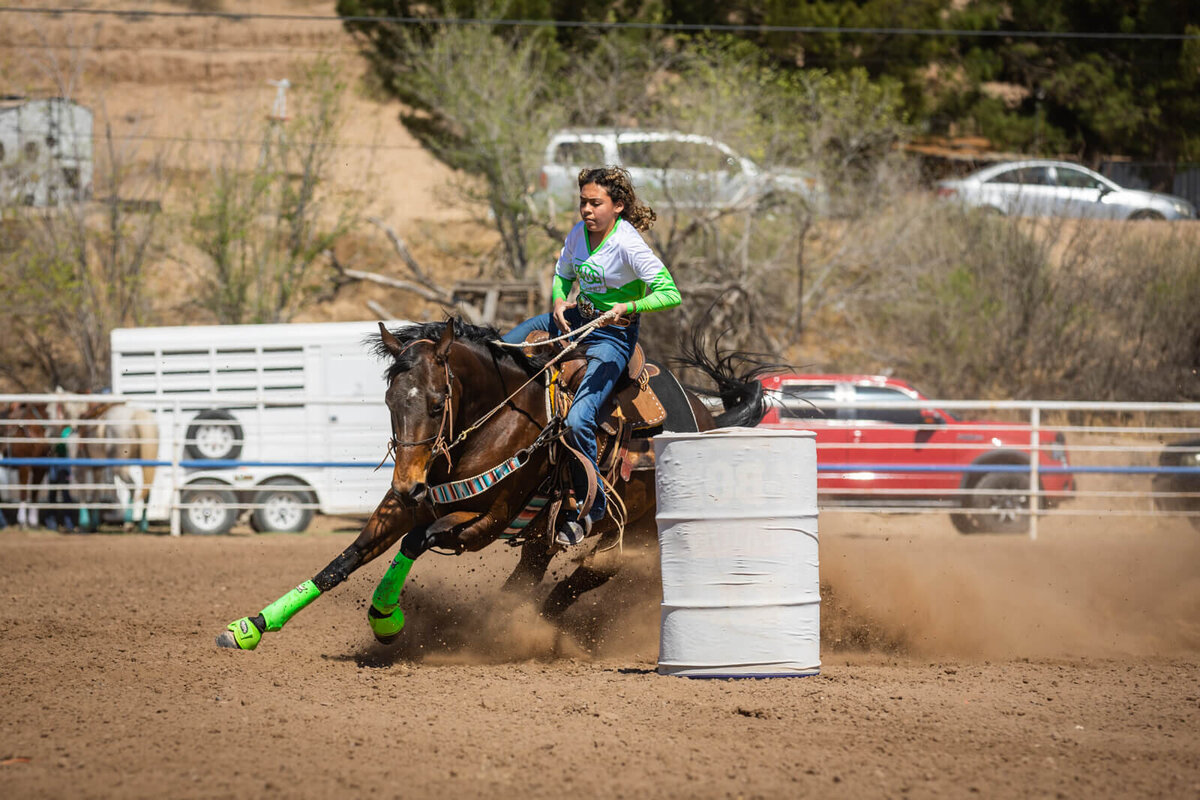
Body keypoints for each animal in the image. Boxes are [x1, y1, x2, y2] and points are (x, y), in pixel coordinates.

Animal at [217, 316, 772, 652]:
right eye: (391, 401)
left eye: (437, 403)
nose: (410, 483)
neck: (494, 419)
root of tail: (707, 415)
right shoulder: (407, 504)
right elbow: (343, 561)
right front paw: (250, 628)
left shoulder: (485, 520)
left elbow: (416, 541)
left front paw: (386, 619)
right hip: (545, 535)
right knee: (531, 577)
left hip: (631, 539)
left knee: (578, 580)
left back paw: (534, 632)